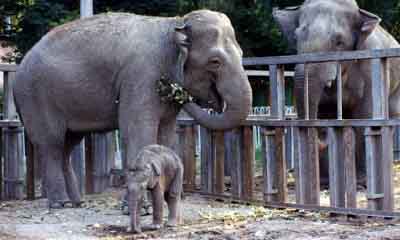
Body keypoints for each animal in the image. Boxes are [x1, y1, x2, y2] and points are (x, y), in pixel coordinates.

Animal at [14, 10, 253, 207]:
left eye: (242, 55)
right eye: (215, 61)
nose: (174, 89)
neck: (174, 23)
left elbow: (166, 135)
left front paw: (163, 200)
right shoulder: (140, 76)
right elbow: (137, 130)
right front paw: (140, 208)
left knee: (67, 145)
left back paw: (77, 203)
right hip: (36, 98)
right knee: (51, 144)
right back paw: (60, 204)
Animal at [274, 0, 400, 182]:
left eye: (339, 42)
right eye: (296, 38)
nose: (321, 137)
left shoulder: (371, 67)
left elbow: (365, 116)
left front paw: (362, 181)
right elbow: (325, 114)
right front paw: (324, 182)